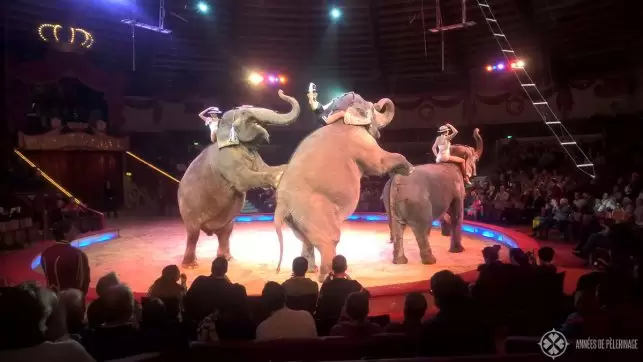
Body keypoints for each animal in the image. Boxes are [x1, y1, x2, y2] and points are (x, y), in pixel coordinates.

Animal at [177, 89, 300, 268]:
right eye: (245, 114)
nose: (280, 91)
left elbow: (265, 168)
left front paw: (285, 170)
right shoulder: (226, 159)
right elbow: (243, 179)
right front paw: (278, 178)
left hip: (227, 221)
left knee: (225, 233)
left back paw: (227, 258)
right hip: (188, 209)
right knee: (193, 234)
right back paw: (190, 265)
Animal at [274, 86, 416, 282]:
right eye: (372, 107)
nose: (380, 103)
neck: (340, 118)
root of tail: (282, 204)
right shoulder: (361, 142)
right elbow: (379, 162)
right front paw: (410, 169)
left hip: (296, 220)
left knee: (305, 240)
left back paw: (309, 270)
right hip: (315, 212)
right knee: (329, 240)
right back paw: (330, 275)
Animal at [382, 129, 484, 264]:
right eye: (476, 159)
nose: (477, 130)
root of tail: (396, 180)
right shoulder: (457, 188)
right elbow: (457, 213)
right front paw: (458, 251)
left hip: (394, 203)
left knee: (397, 226)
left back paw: (400, 261)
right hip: (418, 202)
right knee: (422, 226)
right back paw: (430, 261)